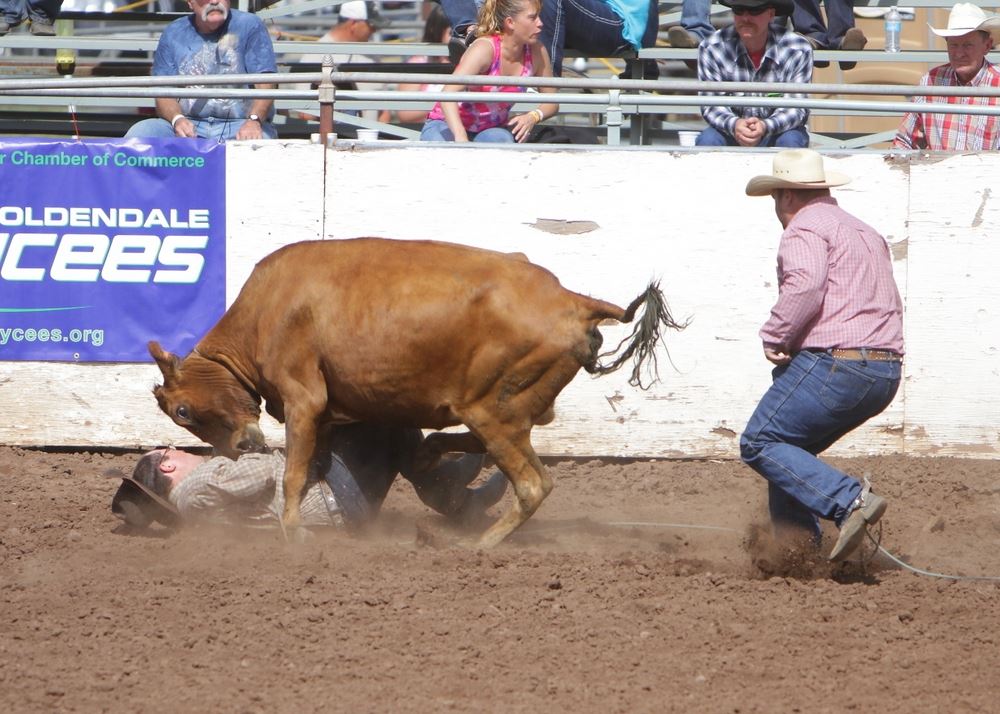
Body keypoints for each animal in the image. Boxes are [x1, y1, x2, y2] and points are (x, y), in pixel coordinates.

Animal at [149, 238, 686, 547]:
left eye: (183, 409)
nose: (241, 447)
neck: (266, 312)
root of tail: (571, 301)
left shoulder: (304, 398)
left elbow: (295, 473)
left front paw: (293, 529)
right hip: (511, 404)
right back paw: (440, 463)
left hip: (493, 410)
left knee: (533, 484)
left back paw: (479, 545)